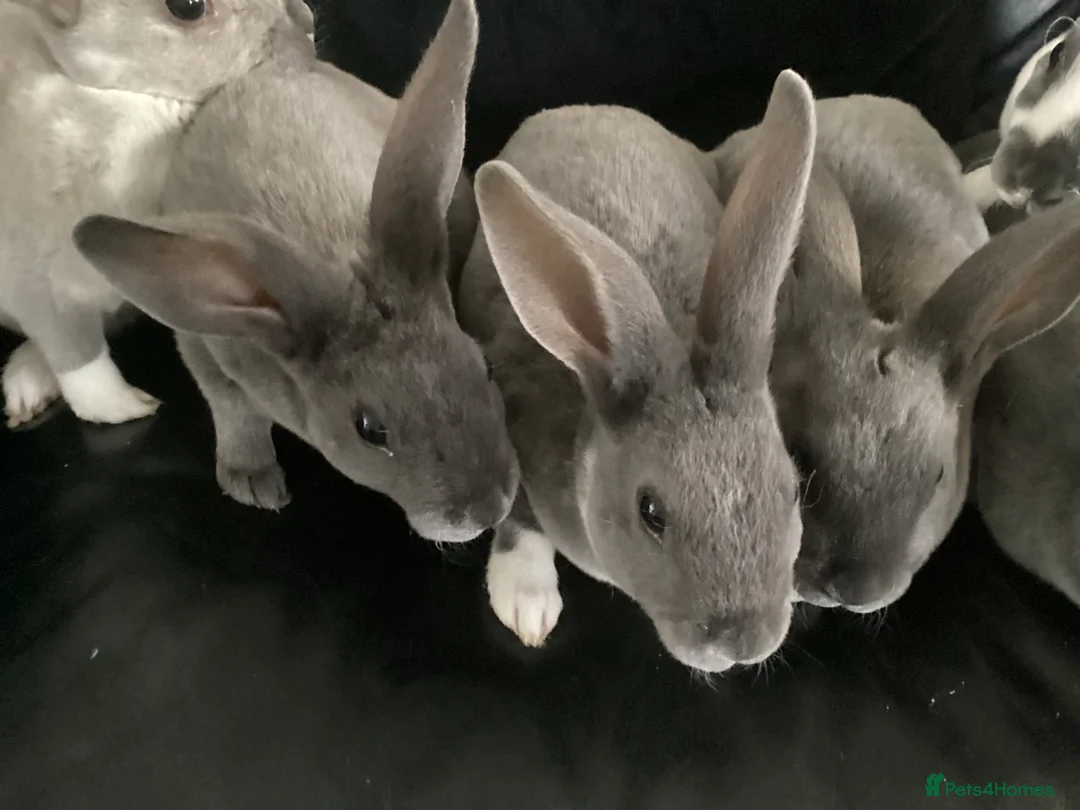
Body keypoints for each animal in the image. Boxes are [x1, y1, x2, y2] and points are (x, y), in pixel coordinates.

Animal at [71, 0, 520, 543]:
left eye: (484, 366)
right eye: (370, 430)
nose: (489, 508)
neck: (334, 257)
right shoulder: (205, 348)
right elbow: (235, 412)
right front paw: (252, 482)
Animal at [455, 70, 815, 672]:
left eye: (790, 490)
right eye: (651, 512)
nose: (740, 643)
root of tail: (587, 107)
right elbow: (517, 517)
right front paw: (527, 604)